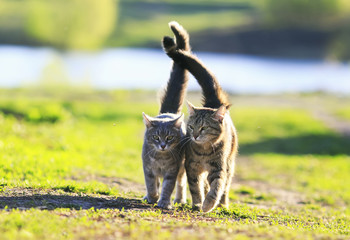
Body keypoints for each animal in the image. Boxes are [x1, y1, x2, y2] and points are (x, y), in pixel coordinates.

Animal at [142, 21, 190, 209]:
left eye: (169, 138)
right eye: (156, 137)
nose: (162, 145)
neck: (161, 158)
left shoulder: (172, 170)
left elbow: (168, 186)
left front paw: (163, 202)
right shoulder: (148, 168)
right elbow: (151, 184)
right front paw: (152, 197)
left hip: (183, 168)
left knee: (181, 183)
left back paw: (179, 199)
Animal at [161, 22, 238, 213]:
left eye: (204, 128)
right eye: (191, 127)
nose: (195, 135)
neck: (204, 151)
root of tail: (214, 101)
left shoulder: (219, 168)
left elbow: (217, 186)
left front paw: (209, 204)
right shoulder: (192, 166)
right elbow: (195, 187)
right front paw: (198, 203)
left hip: (230, 163)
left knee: (225, 186)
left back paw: (223, 204)